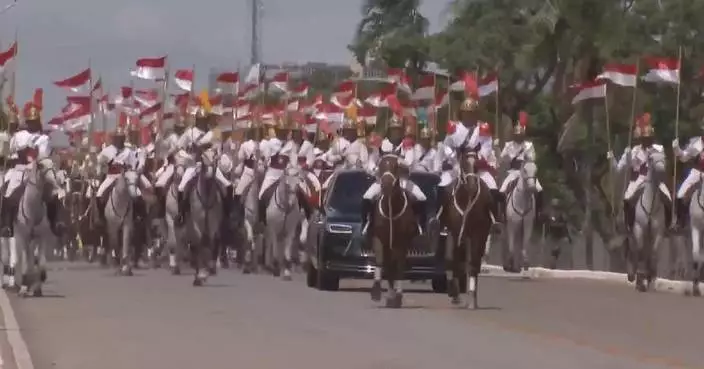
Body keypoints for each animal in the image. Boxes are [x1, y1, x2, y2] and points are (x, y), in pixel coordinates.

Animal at [187, 149, 223, 284]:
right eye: (202, 158)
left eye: (216, 157)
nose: (209, 174)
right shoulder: (196, 223)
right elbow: (199, 243)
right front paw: (200, 275)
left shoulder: (213, 224)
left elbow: (211, 243)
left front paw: (207, 271)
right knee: (195, 245)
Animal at [366, 154, 420, 306]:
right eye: (380, 165)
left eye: (396, 166)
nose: (386, 185)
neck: (392, 208)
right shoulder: (378, 238)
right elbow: (380, 261)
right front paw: (376, 290)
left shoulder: (401, 242)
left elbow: (399, 267)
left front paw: (398, 296)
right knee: (389, 265)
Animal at [446, 150, 496, 308]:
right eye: (463, 163)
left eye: (477, 163)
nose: (473, 186)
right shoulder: (456, 233)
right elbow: (455, 260)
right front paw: (455, 294)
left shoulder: (478, 234)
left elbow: (473, 263)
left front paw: (472, 298)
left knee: (474, 262)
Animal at [628, 151, 664, 292]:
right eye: (651, 158)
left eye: (664, 157)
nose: (662, 169)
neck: (651, 205)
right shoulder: (639, 228)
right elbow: (640, 251)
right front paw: (640, 280)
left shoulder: (657, 232)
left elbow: (653, 253)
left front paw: (651, 280)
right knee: (635, 250)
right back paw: (633, 275)